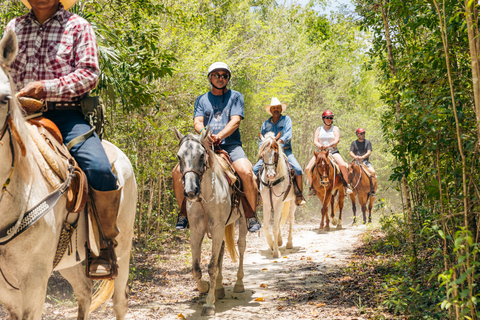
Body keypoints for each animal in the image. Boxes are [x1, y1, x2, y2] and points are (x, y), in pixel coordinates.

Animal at [0, 30, 137, 320]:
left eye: (5, 98)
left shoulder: (34, 286)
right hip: (69, 259)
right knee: (84, 291)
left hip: (123, 248)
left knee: (120, 301)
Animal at [174, 127, 248, 316]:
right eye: (179, 156)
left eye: (201, 155)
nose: (191, 191)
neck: (205, 197)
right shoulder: (196, 230)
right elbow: (196, 268)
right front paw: (205, 287)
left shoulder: (217, 228)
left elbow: (212, 266)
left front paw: (208, 304)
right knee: (221, 250)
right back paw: (219, 289)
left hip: (242, 221)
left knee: (241, 246)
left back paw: (238, 284)